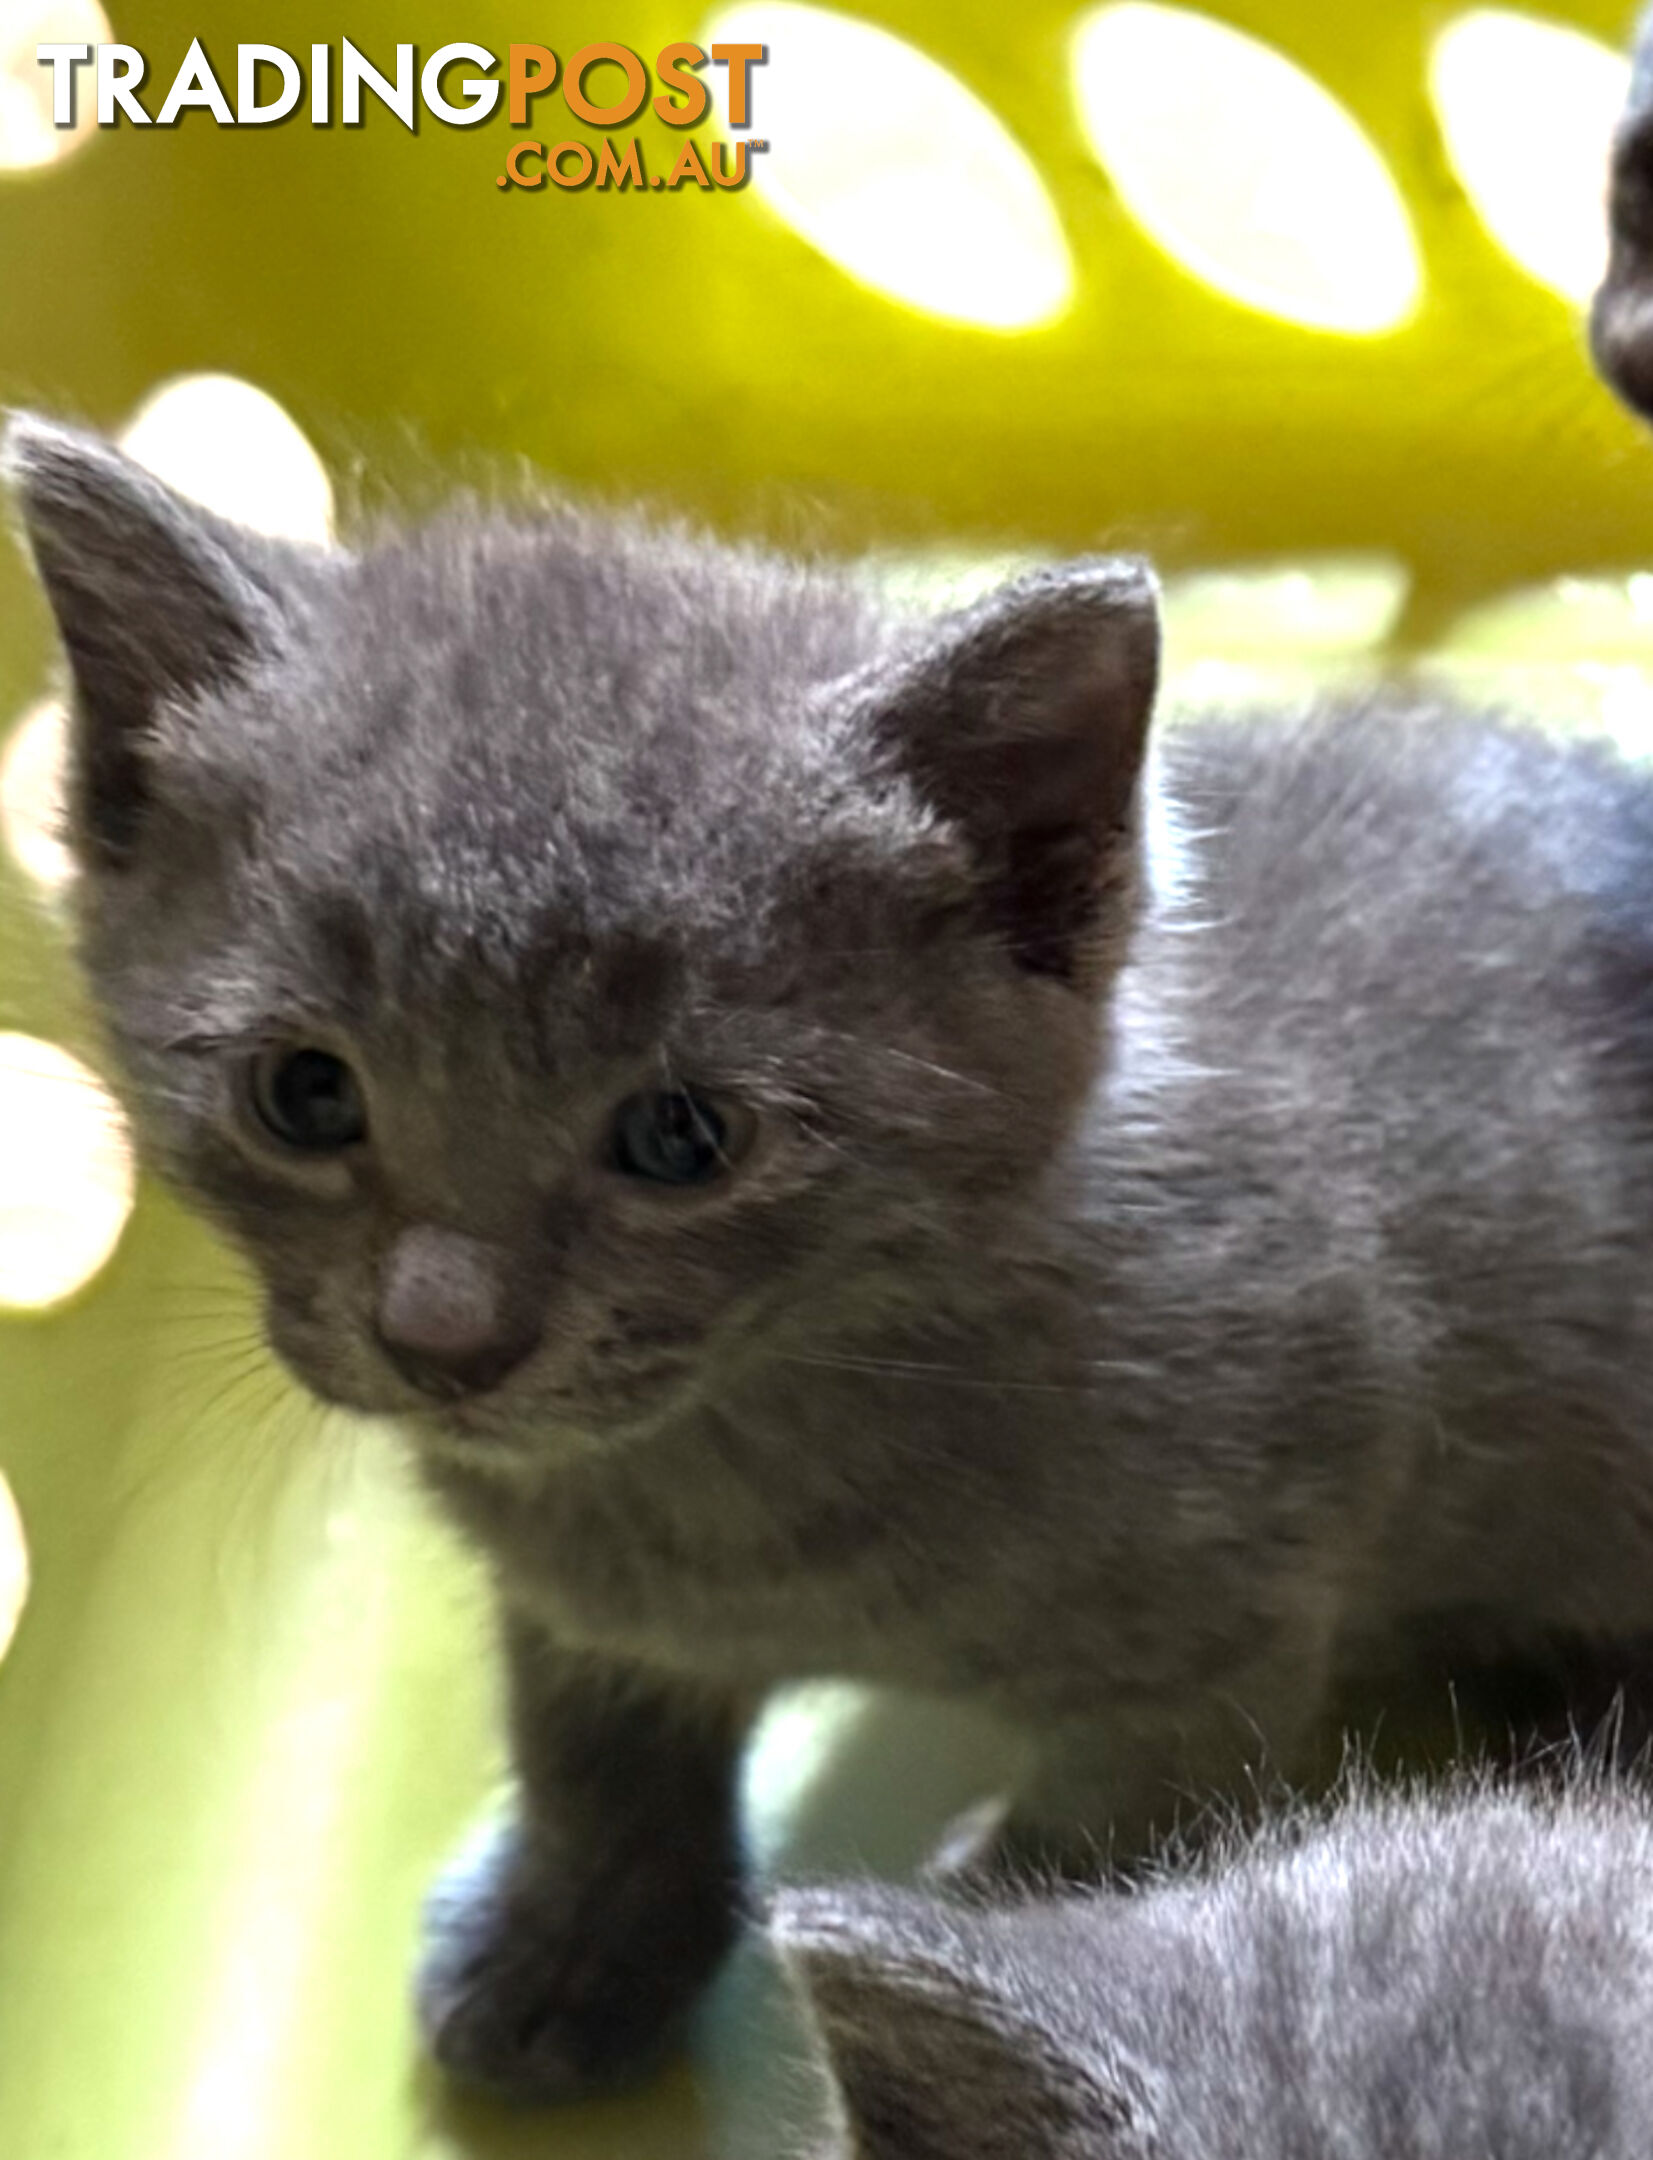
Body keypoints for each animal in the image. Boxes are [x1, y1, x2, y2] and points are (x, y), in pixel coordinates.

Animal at [9, 421, 1650, 2108]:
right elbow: (587, 1750)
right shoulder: (577, 1600)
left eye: (680, 1135)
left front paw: (986, 1961)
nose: (443, 1337)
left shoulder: (1231, 1619)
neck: (730, 1476)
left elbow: (1113, 1830)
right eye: (304, 1095)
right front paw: (572, 1939)